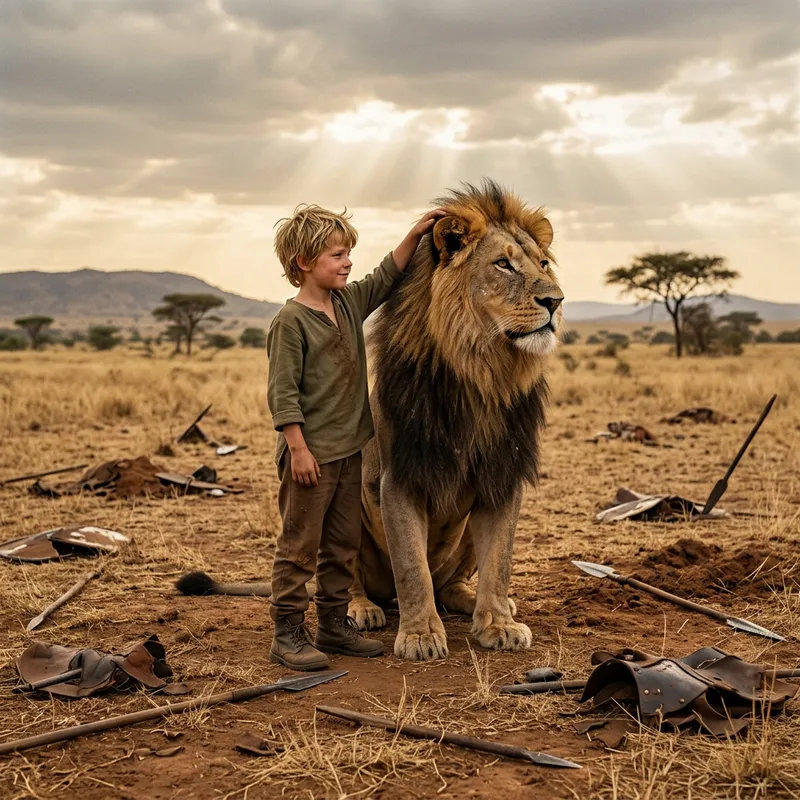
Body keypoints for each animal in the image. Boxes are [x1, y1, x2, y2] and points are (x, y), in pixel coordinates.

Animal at [348, 180, 563, 661]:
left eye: (542, 264)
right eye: (503, 264)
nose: (555, 300)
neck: (481, 373)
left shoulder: (503, 474)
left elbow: (499, 561)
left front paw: (499, 624)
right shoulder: (400, 476)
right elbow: (412, 567)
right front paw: (420, 635)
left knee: (451, 583)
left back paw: (477, 600)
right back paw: (360, 607)